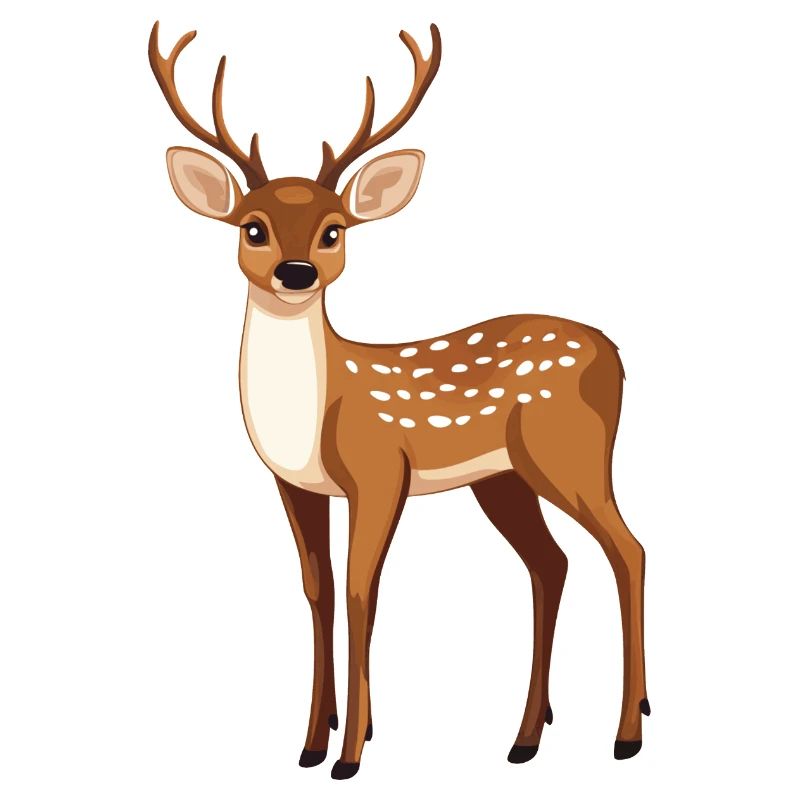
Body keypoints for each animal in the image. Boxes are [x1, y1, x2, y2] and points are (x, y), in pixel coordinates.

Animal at [148, 20, 649, 780]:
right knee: (551, 563)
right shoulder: (295, 485)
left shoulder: (380, 470)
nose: (297, 272)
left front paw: (351, 753)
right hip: (503, 478)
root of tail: (615, 353)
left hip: (568, 452)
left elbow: (362, 591)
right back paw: (525, 738)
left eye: (334, 229)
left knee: (628, 550)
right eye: (252, 226)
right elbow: (319, 589)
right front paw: (311, 742)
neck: (313, 412)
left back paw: (627, 733)